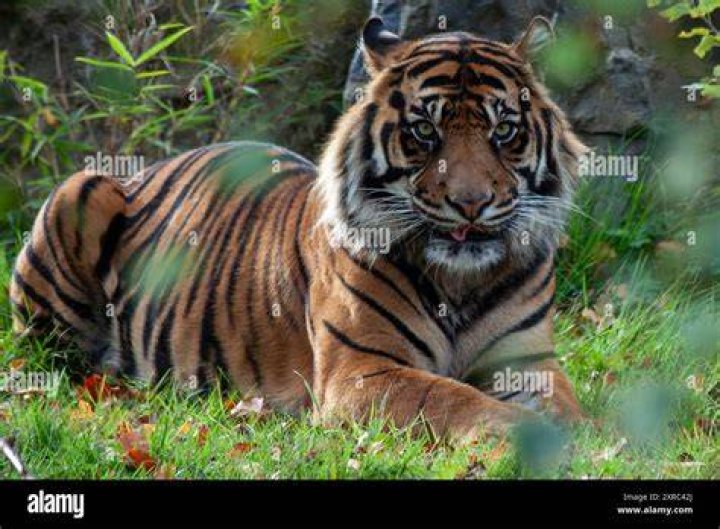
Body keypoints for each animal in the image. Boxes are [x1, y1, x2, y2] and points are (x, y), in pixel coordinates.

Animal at [9, 16, 586, 441]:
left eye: (503, 130)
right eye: (425, 131)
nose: (471, 203)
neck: (460, 282)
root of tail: (149, 167)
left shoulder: (530, 360)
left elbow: (567, 405)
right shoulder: (361, 372)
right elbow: (454, 398)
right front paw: (522, 433)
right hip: (79, 191)